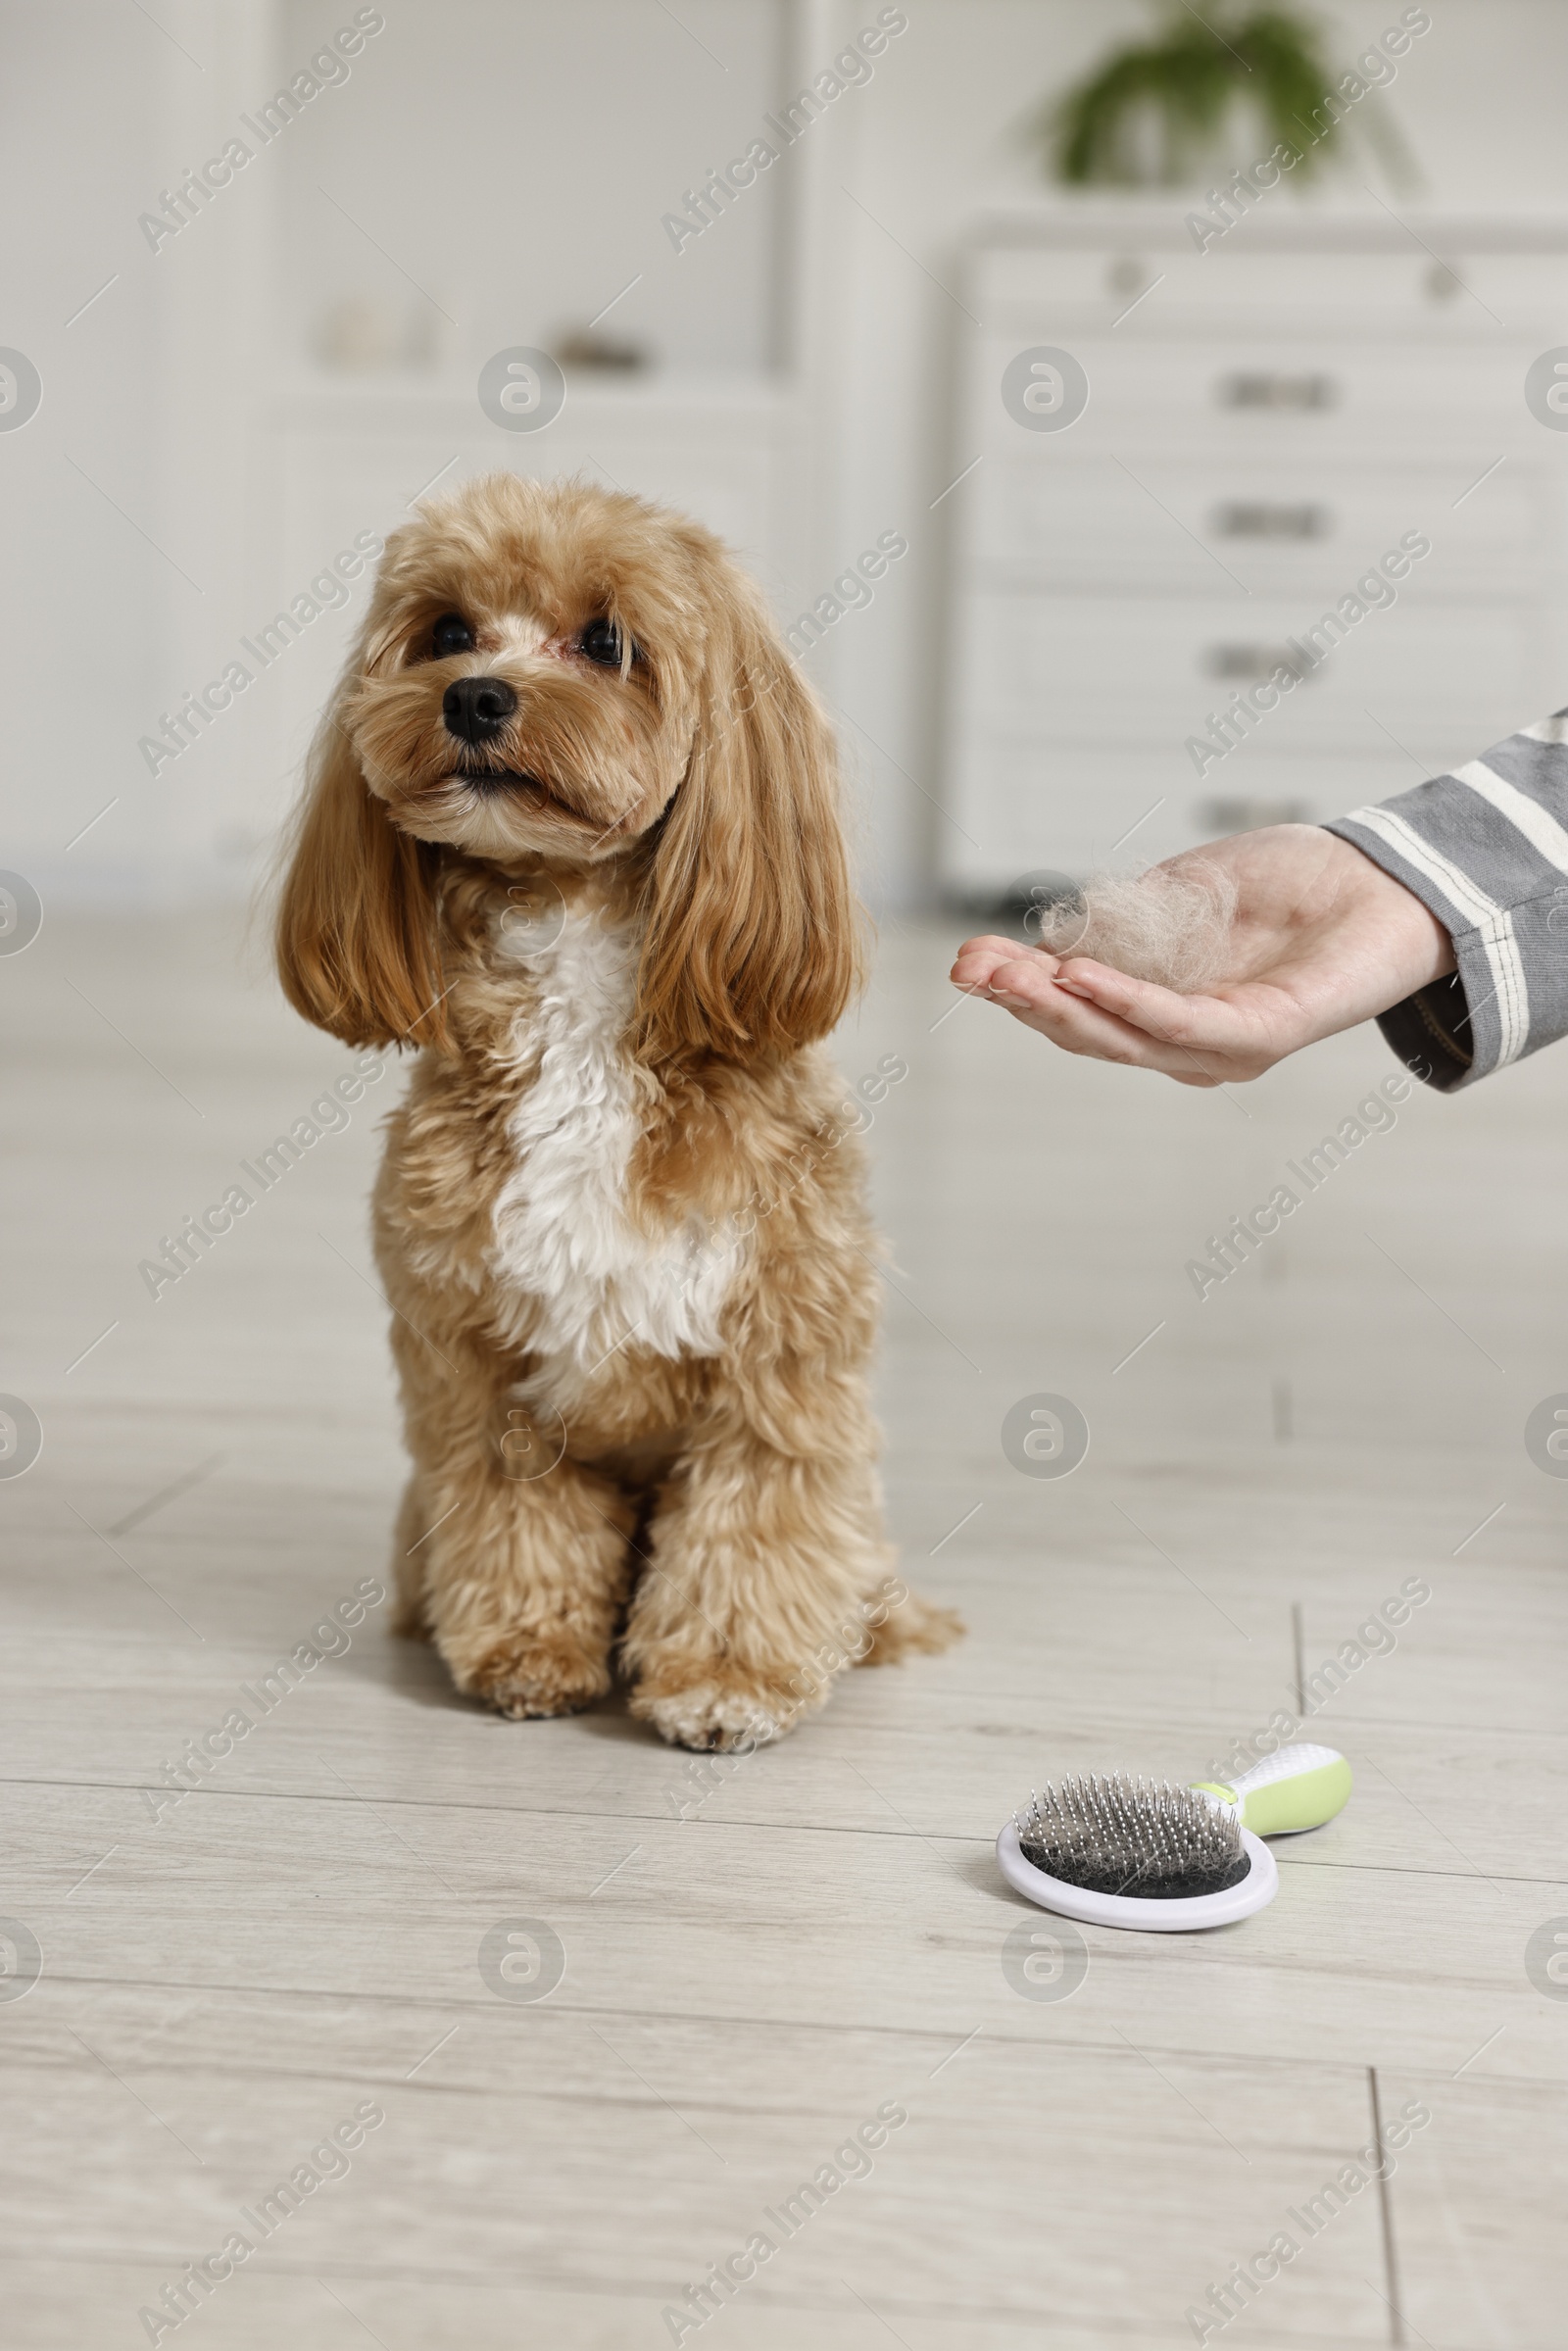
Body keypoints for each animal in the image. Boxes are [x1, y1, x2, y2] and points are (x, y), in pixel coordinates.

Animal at [277, 472, 963, 1748]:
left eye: (605, 642)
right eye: (445, 631)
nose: (476, 694)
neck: (580, 992)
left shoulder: (777, 1357)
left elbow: (752, 1519)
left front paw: (726, 1679)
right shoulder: (479, 1362)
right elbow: (516, 1518)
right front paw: (526, 1650)